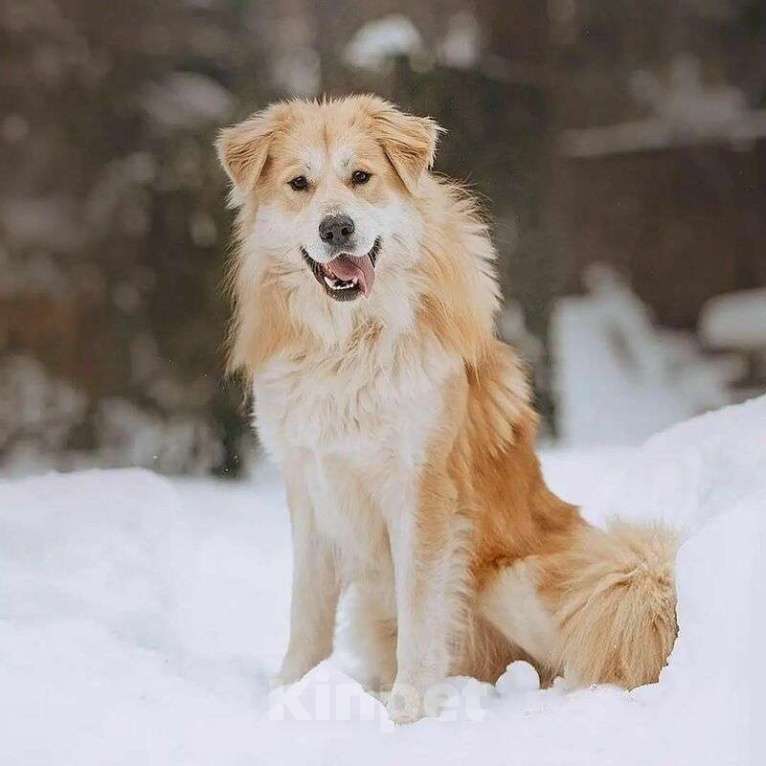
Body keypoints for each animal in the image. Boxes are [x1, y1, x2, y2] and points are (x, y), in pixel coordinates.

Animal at [214, 96, 680, 728]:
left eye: (361, 177)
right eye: (298, 184)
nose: (336, 227)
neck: (349, 343)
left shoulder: (422, 490)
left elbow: (421, 612)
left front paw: (406, 713)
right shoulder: (310, 489)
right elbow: (306, 613)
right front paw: (289, 693)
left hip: (532, 582)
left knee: (597, 654)